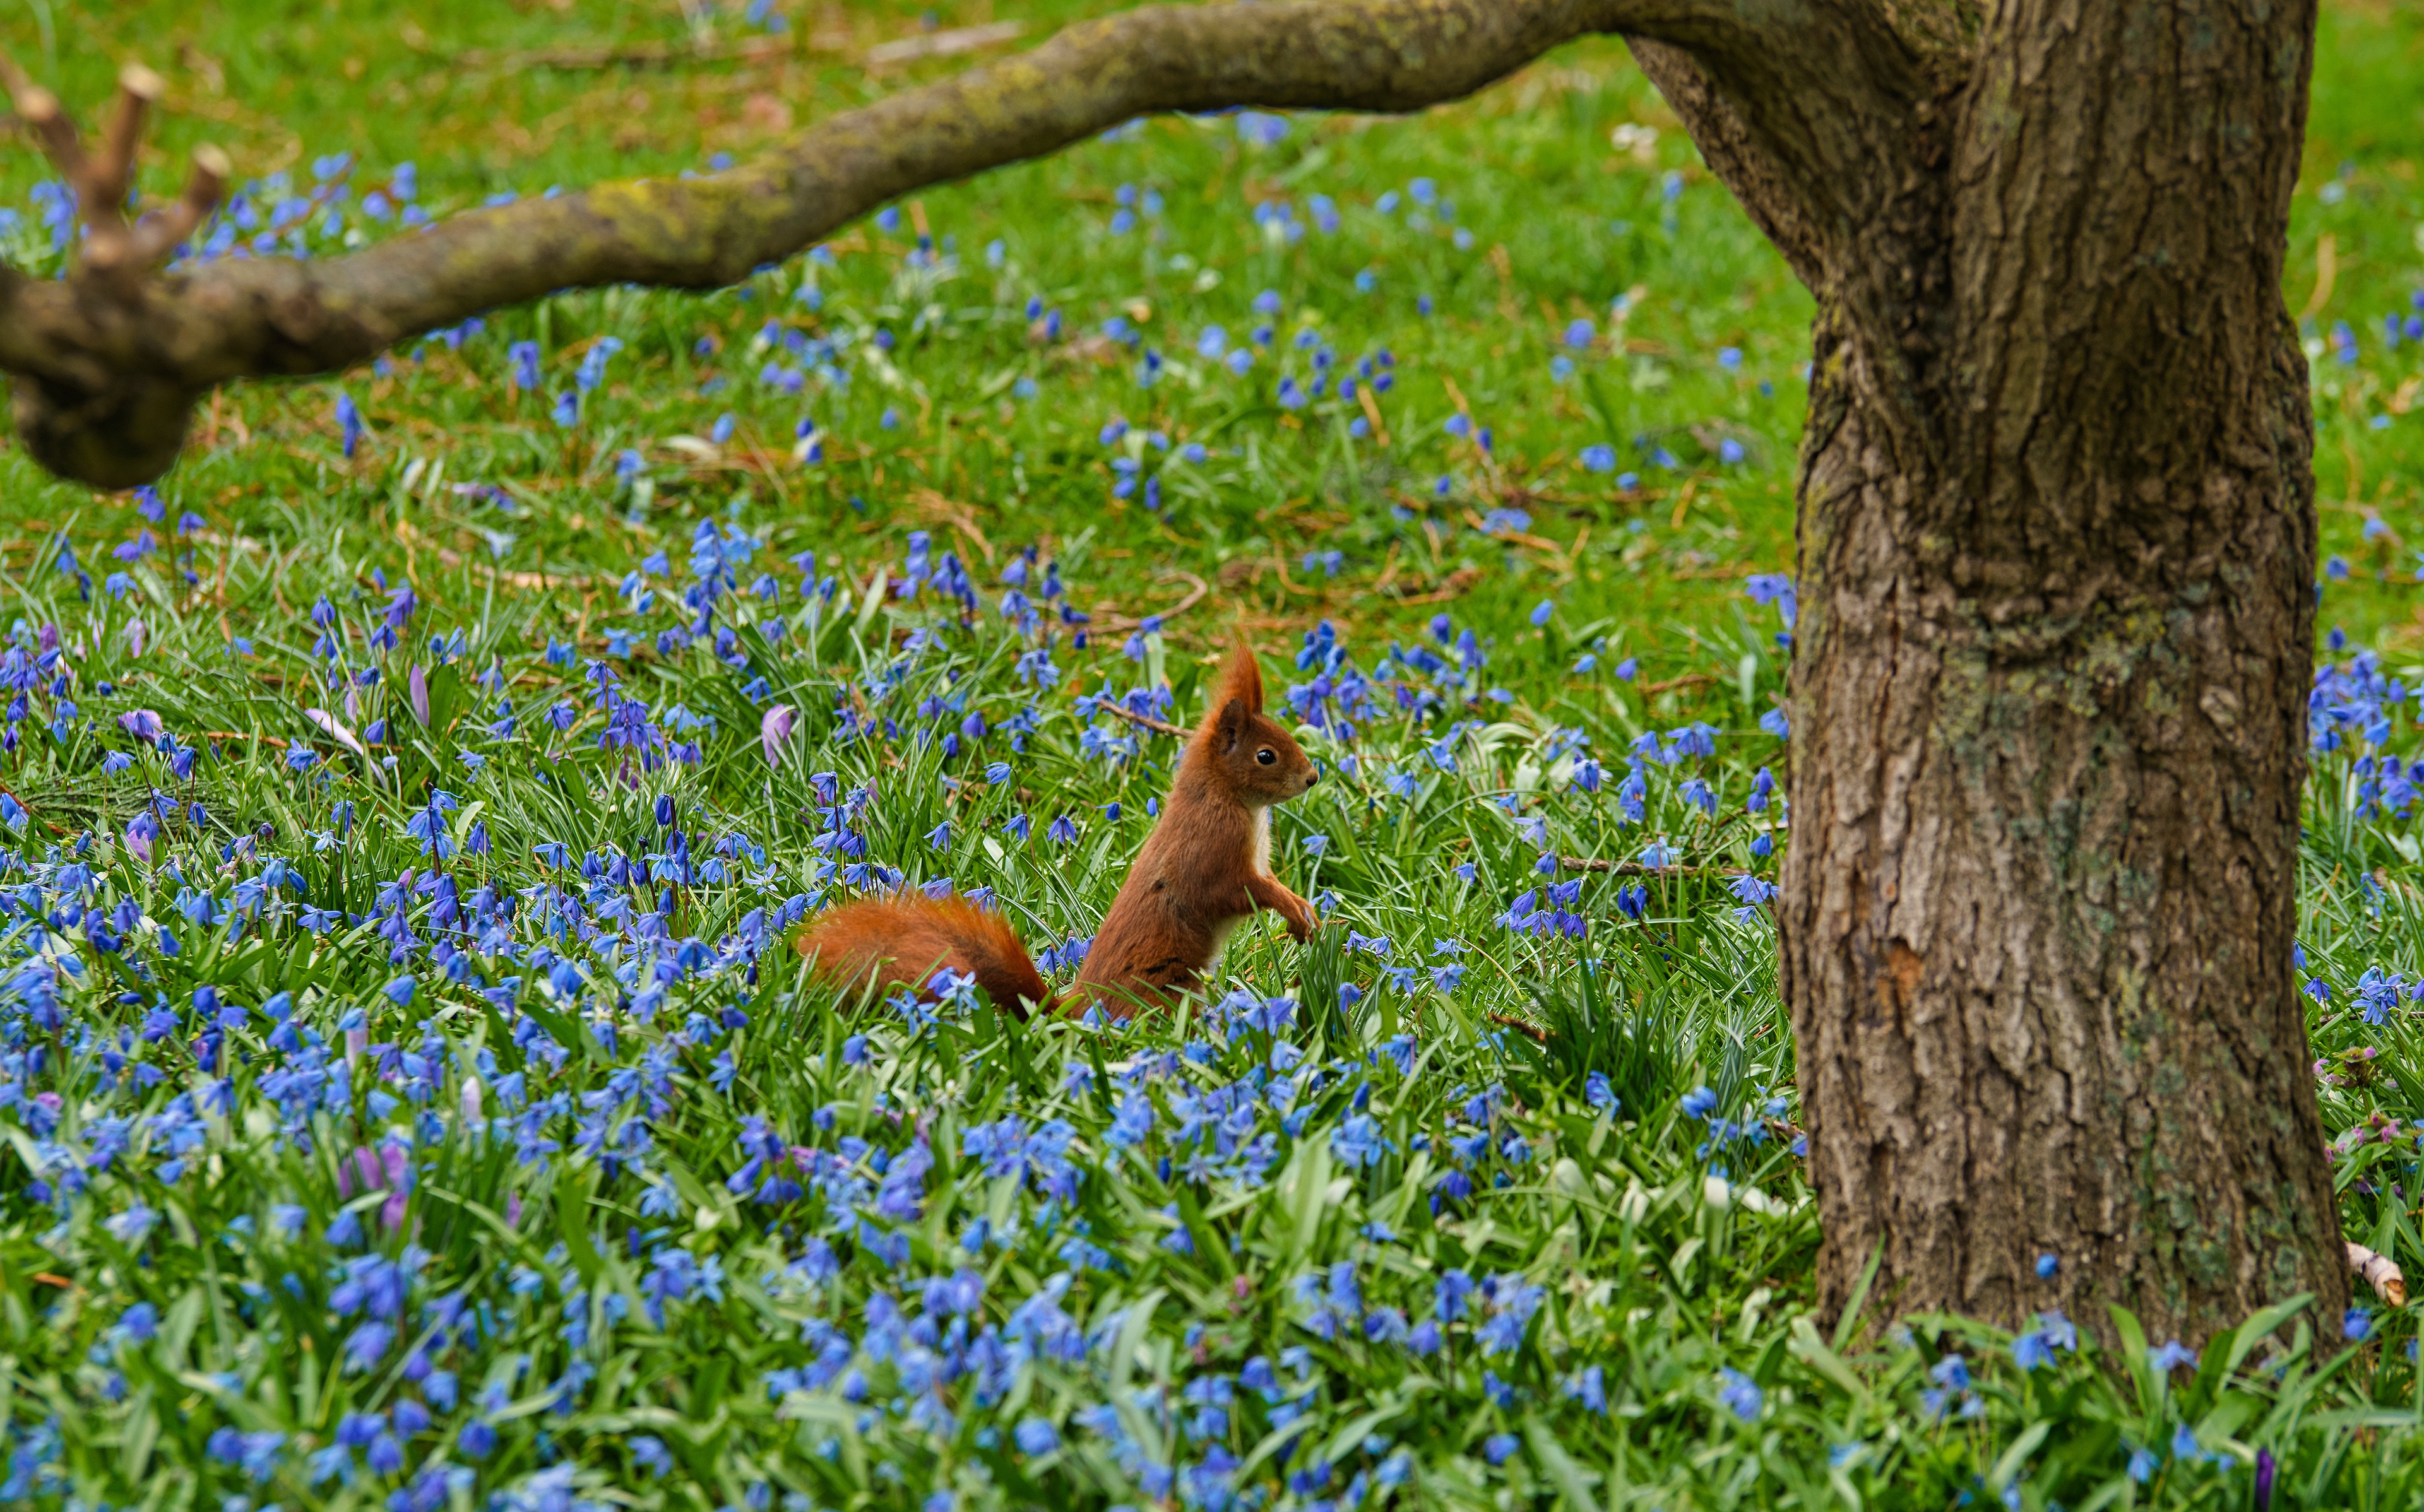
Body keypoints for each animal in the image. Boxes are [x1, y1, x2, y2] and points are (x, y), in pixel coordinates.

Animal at [800, 644, 1318, 1022]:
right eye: (1266, 756)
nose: (1313, 778)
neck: (1232, 801)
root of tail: (1074, 1013)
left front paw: (1302, 911)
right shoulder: (1213, 853)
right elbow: (1238, 890)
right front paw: (1294, 910)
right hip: (1164, 989)